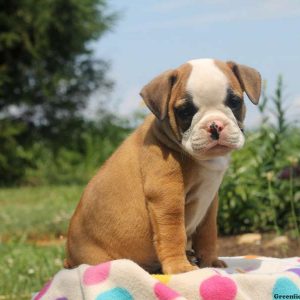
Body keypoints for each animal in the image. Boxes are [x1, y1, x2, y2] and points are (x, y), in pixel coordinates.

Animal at [65, 58, 260, 274]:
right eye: (185, 111)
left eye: (235, 102)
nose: (214, 125)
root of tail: (69, 259)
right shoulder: (167, 198)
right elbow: (173, 234)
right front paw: (180, 267)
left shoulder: (209, 203)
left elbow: (208, 233)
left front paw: (210, 262)